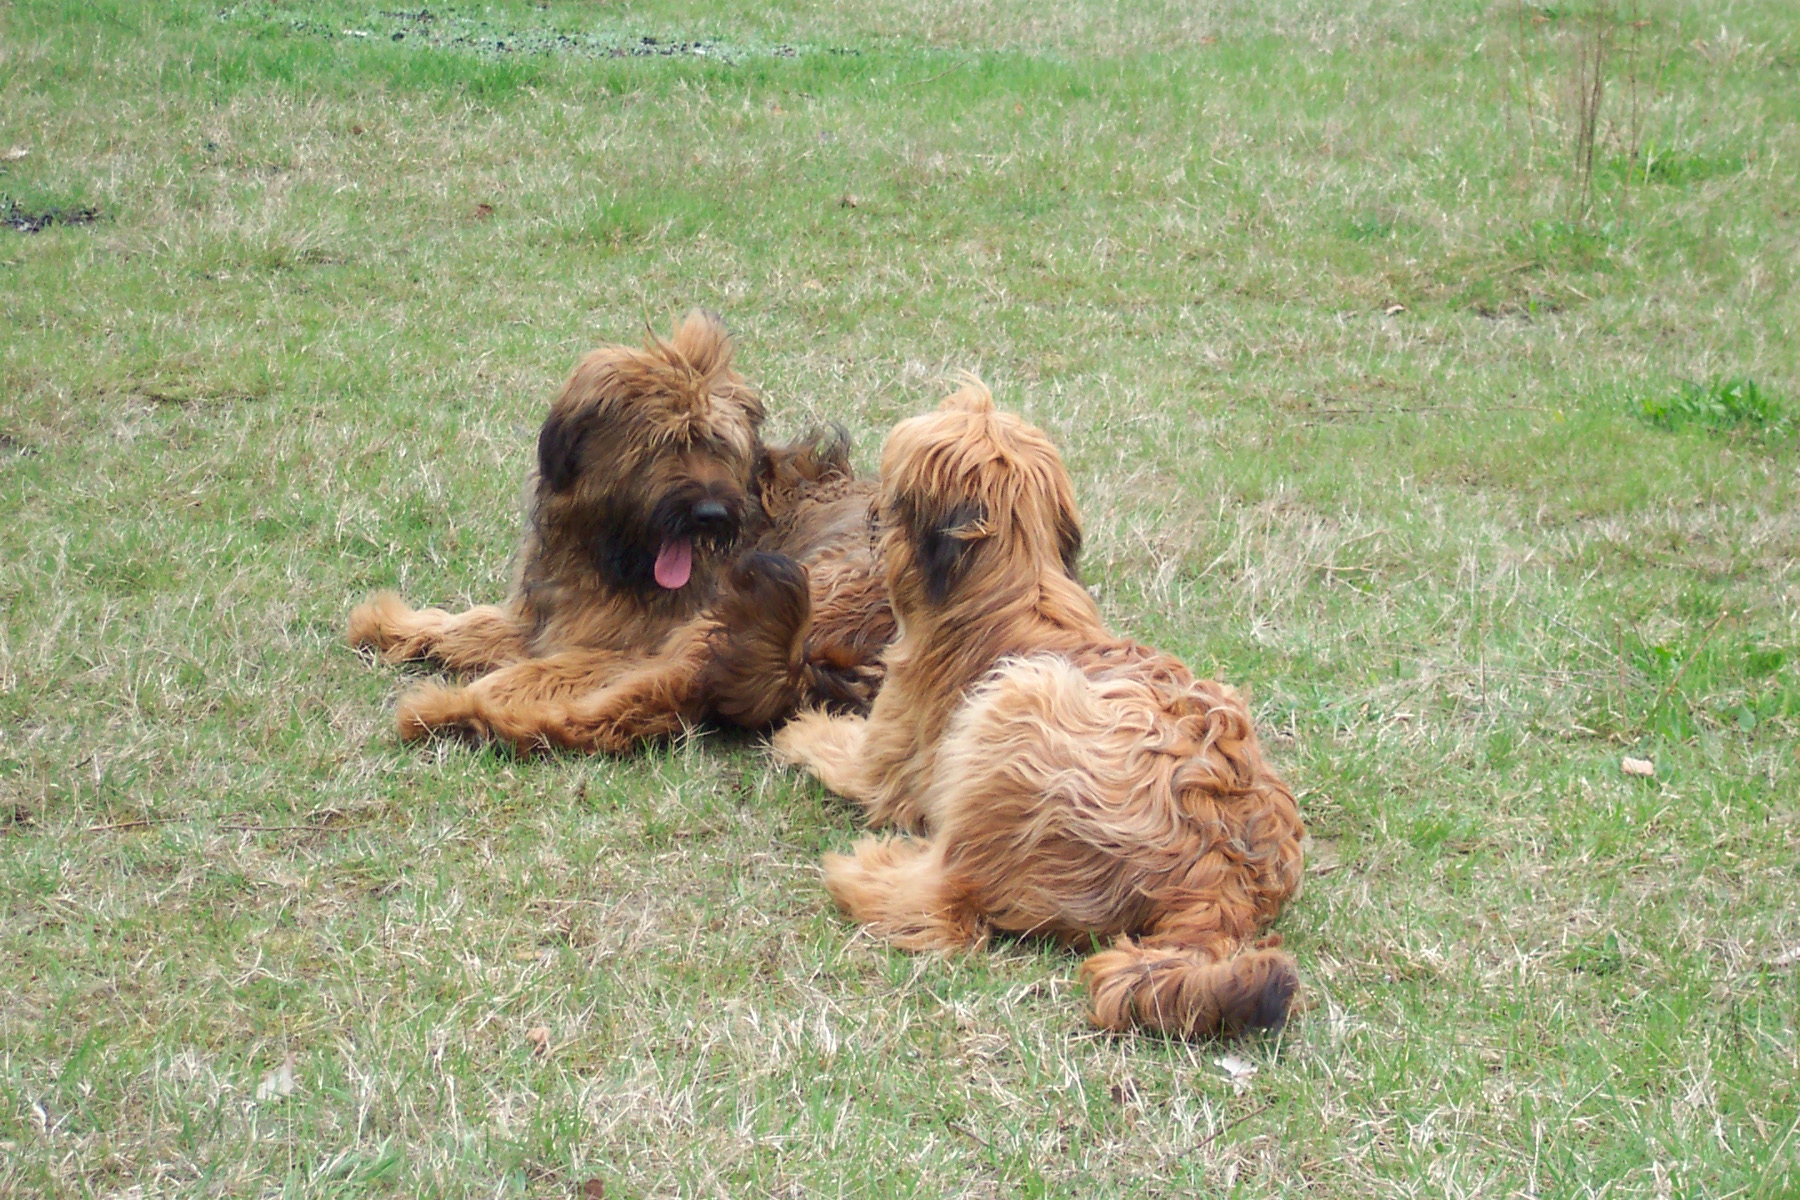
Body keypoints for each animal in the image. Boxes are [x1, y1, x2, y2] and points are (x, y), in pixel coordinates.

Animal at [348, 311, 893, 752]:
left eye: (719, 444)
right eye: (666, 443)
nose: (712, 514)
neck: (613, 553)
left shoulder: (626, 645)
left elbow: (534, 670)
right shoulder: (553, 620)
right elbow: (476, 622)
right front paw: (392, 624)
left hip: (781, 600)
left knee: (639, 703)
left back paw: (458, 715)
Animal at [773, 380, 1305, 1038]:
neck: (1013, 587)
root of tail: (1224, 878)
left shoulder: (885, 760)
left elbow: (837, 745)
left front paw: (801, 730)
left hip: (1017, 709)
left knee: (950, 904)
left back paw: (869, 871)